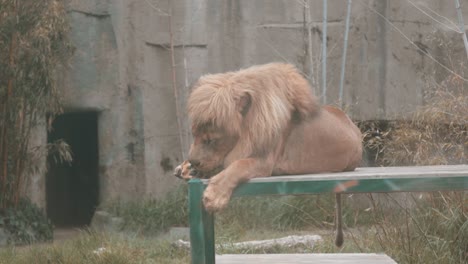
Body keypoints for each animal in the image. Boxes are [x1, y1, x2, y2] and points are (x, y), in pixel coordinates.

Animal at [175, 63, 362, 246]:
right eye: (194, 134)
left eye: (211, 140)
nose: (193, 161)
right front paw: (185, 168)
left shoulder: (265, 161)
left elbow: (237, 166)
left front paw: (214, 197)